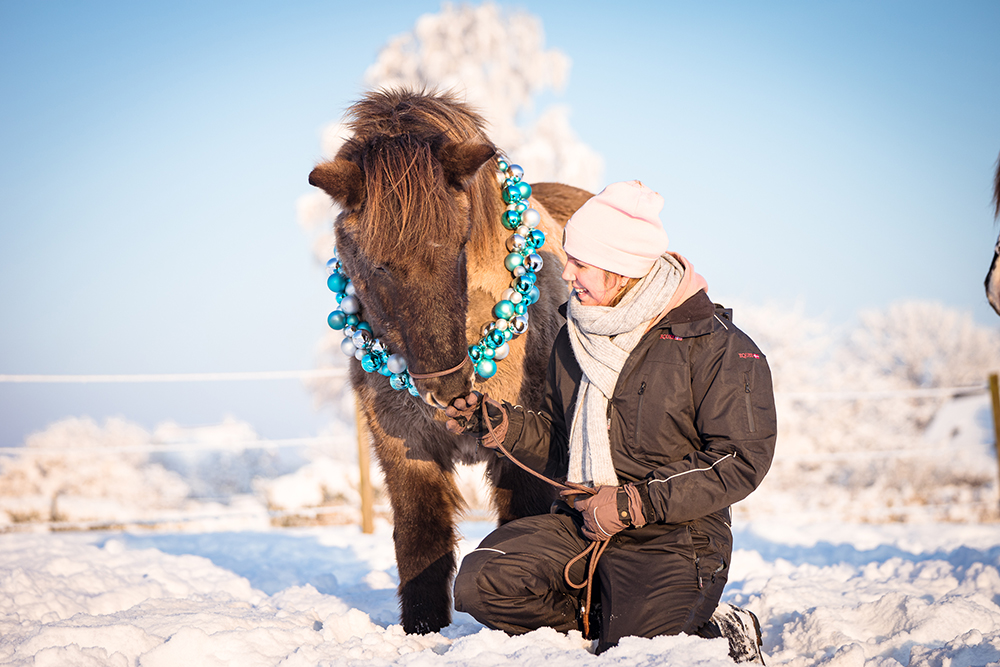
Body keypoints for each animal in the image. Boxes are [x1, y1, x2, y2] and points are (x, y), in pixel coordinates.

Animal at [308, 90, 592, 636]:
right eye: (377, 266)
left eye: (460, 245)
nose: (450, 389)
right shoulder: (405, 445)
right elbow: (421, 541)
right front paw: (422, 632)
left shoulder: (524, 454)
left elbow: (519, 528)